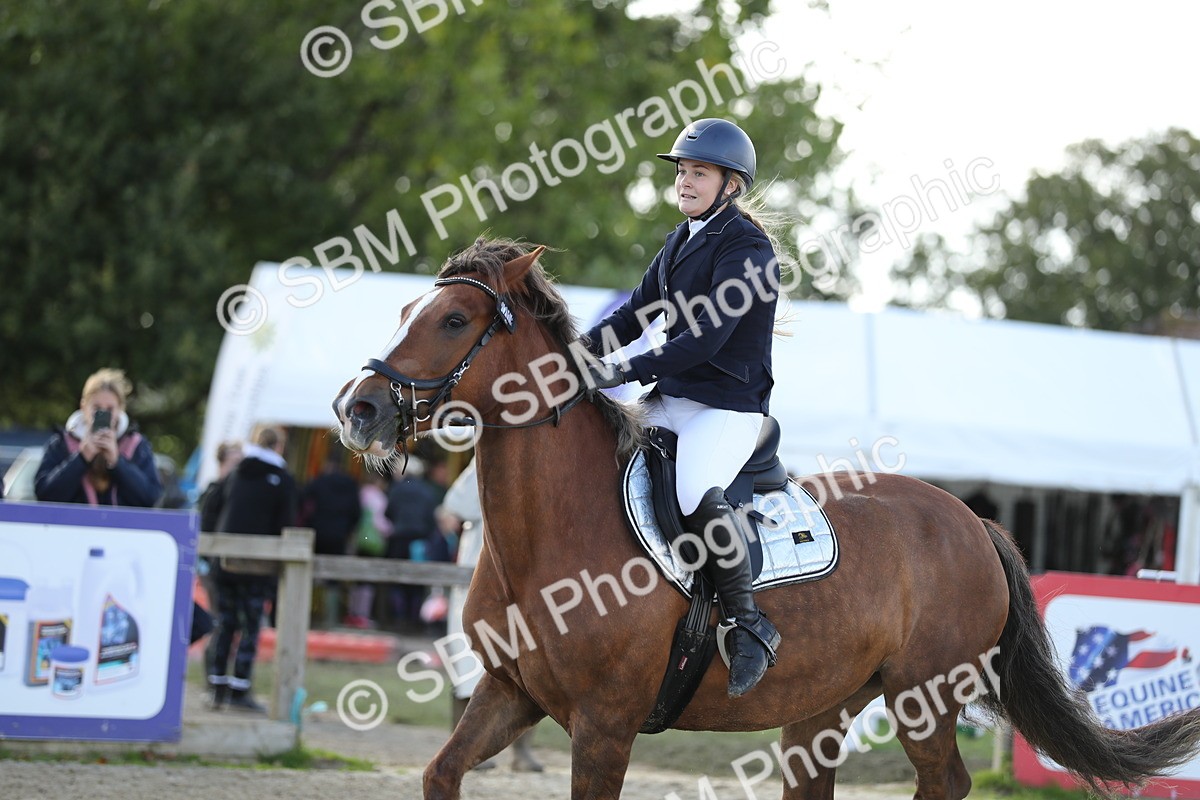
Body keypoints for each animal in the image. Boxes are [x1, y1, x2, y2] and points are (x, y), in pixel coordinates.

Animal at [332, 238, 1200, 799]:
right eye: (408, 307)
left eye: (452, 321)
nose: (358, 408)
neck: (551, 533)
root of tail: (971, 523)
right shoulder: (510, 693)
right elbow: (442, 772)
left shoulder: (605, 727)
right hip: (823, 707)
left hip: (927, 694)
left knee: (945, 782)